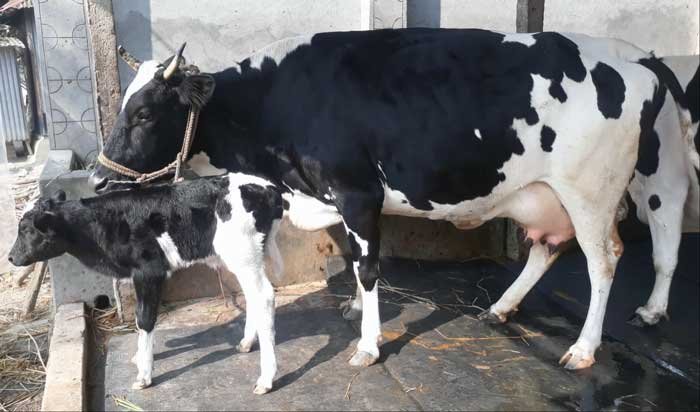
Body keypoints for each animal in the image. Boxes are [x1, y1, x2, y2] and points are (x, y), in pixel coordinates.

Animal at [8, 174, 285, 394]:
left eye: (27, 229)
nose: (10, 257)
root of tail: (267, 186)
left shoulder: (149, 271)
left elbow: (145, 319)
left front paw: (144, 374)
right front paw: (141, 358)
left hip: (243, 254)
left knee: (264, 296)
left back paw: (266, 378)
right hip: (245, 257)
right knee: (254, 296)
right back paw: (247, 343)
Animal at [89, 28, 670, 371]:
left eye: (144, 113)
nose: (96, 178)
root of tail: (636, 62)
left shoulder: (357, 191)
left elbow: (369, 266)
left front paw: (368, 345)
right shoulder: (334, 200)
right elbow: (351, 258)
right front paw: (351, 309)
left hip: (590, 190)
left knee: (603, 261)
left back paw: (585, 348)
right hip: (545, 195)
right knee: (546, 249)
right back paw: (502, 308)